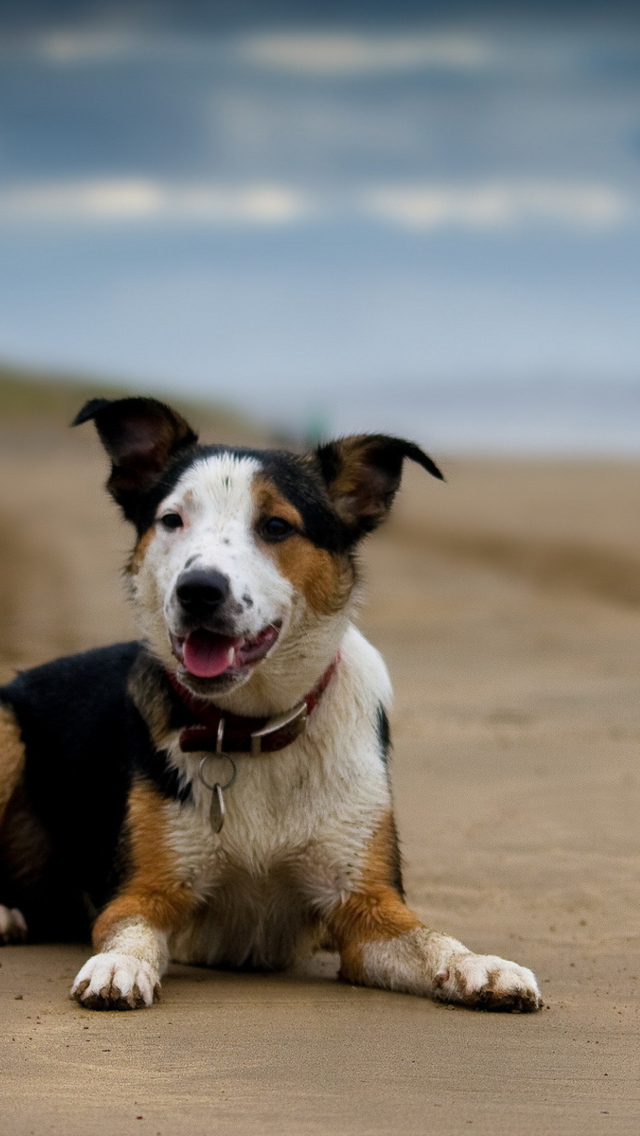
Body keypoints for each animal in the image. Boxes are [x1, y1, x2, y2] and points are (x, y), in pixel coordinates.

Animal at [0, 399, 543, 1013]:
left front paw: (482, 965)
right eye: (172, 520)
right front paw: (119, 965)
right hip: (5, 725)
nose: (199, 590)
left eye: (277, 526)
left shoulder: (368, 907)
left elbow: (434, 940)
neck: (249, 726)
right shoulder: (142, 892)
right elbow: (130, 931)